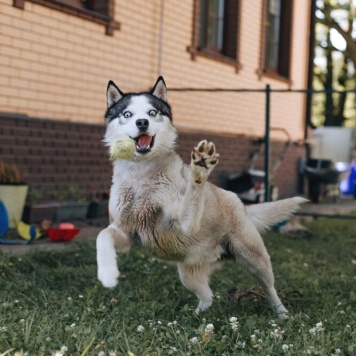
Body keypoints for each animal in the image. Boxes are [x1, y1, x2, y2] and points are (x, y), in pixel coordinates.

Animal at [96, 76, 306, 318]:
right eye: (127, 114)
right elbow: (102, 236)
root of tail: (242, 206)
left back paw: (282, 314)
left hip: (256, 259)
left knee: (269, 288)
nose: (142, 123)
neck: (142, 176)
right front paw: (107, 274)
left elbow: (193, 194)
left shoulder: (184, 223)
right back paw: (195, 316)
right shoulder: (125, 232)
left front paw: (200, 168)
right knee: (208, 297)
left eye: (152, 112)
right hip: (188, 274)